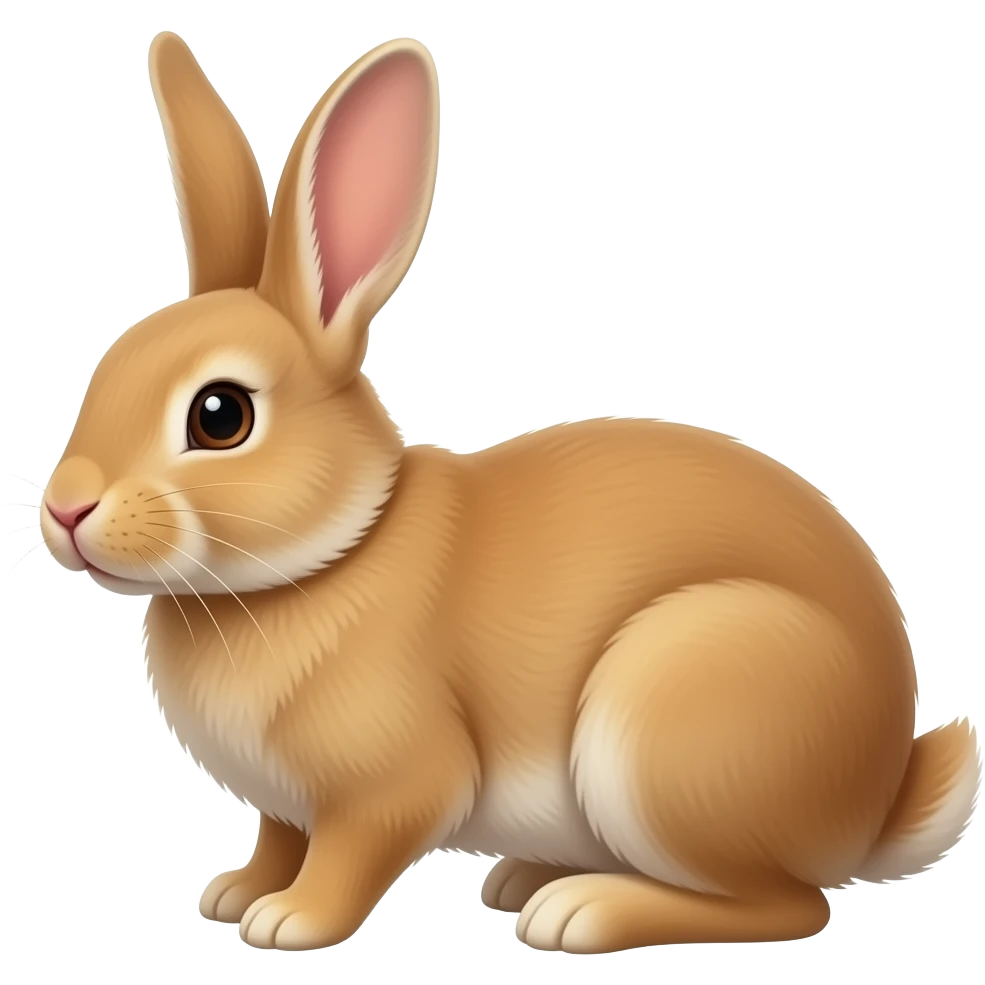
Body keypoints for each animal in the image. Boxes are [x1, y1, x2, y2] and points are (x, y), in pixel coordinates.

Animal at [35, 31, 981, 954]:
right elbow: (278, 836)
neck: (332, 553)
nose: (65, 509)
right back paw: (524, 879)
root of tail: (875, 800)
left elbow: (350, 853)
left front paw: (289, 919)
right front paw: (234, 892)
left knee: (788, 904)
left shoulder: (390, 786)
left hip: (672, 717)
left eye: (220, 415)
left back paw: (581, 910)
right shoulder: (283, 804)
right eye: (104, 366)